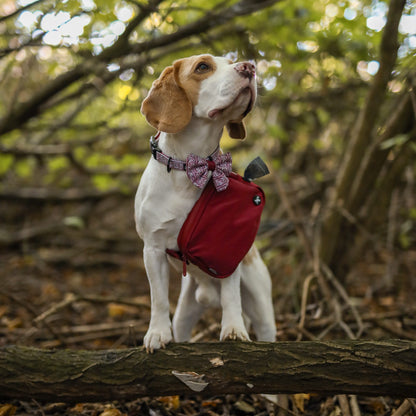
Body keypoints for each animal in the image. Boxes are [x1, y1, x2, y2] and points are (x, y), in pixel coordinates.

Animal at [134, 53, 276, 352]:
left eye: (232, 62)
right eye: (202, 67)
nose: (250, 67)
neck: (191, 164)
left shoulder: (227, 251)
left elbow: (231, 296)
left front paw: (233, 329)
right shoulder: (152, 249)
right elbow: (158, 299)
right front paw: (157, 332)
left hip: (260, 303)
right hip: (184, 314)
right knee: (181, 325)